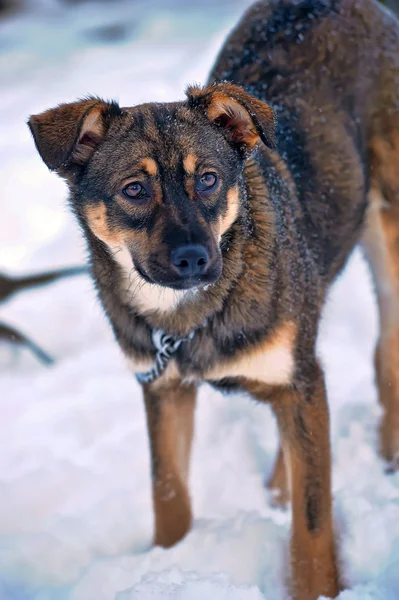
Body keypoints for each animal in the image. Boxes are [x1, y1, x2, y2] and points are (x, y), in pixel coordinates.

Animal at [27, 1, 399, 600]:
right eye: (134, 190)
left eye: (207, 179)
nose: (194, 259)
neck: (190, 318)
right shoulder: (162, 386)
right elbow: (169, 495)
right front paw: (170, 563)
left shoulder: (297, 379)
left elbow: (313, 525)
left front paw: (318, 586)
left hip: (388, 237)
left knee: (386, 350)